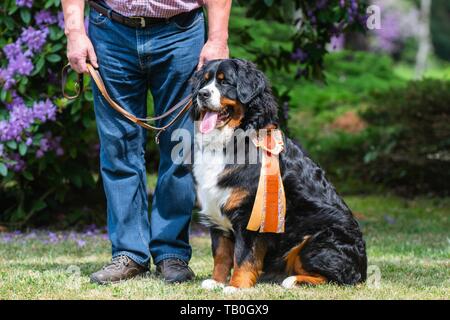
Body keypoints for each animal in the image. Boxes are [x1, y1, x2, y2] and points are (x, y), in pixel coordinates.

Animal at [189, 58, 366, 294]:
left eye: (224, 82)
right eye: (205, 81)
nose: (202, 94)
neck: (233, 140)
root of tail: (363, 268)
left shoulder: (250, 216)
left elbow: (243, 256)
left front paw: (236, 286)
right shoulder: (217, 211)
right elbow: (221, 254)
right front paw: (217, 281)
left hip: (318, 240)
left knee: (340, 278)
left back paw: (293, 280)